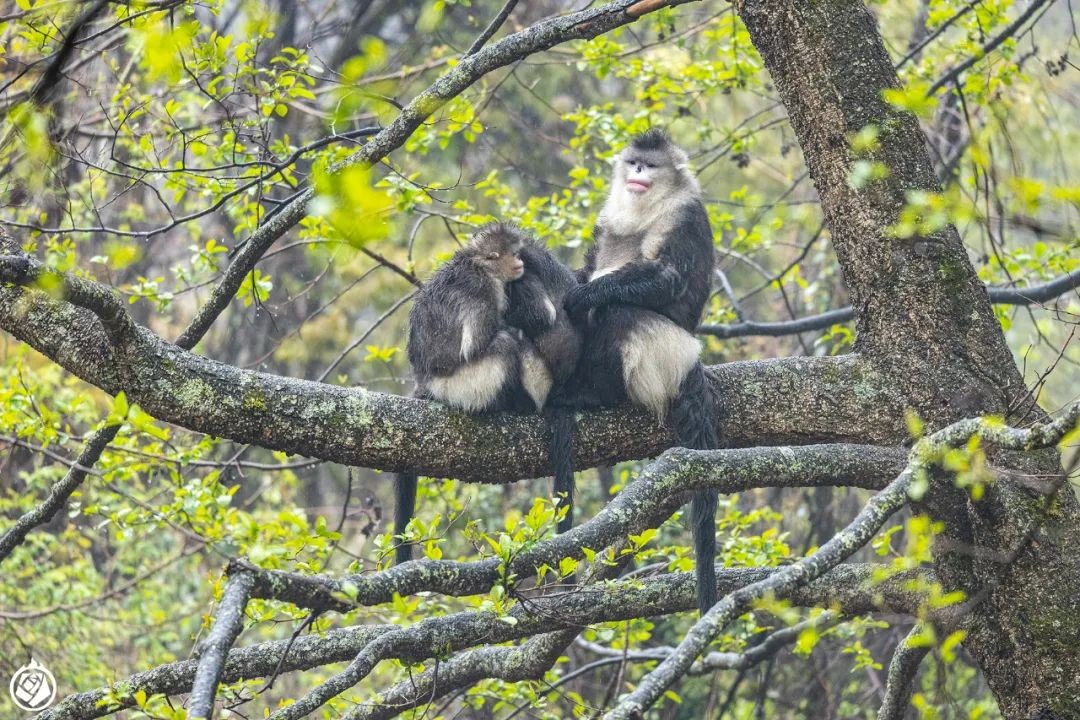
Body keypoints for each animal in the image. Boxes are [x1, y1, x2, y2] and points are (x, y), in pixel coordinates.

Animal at [552, 129, 721, 613]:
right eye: (634, 163)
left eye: (651, 165)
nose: (639, 173)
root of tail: (689, 359)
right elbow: (591, 263)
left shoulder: (684, 214)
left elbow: (666, 278)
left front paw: (583, 297)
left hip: (661, 349)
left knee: (619, 313)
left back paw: (589, 392)